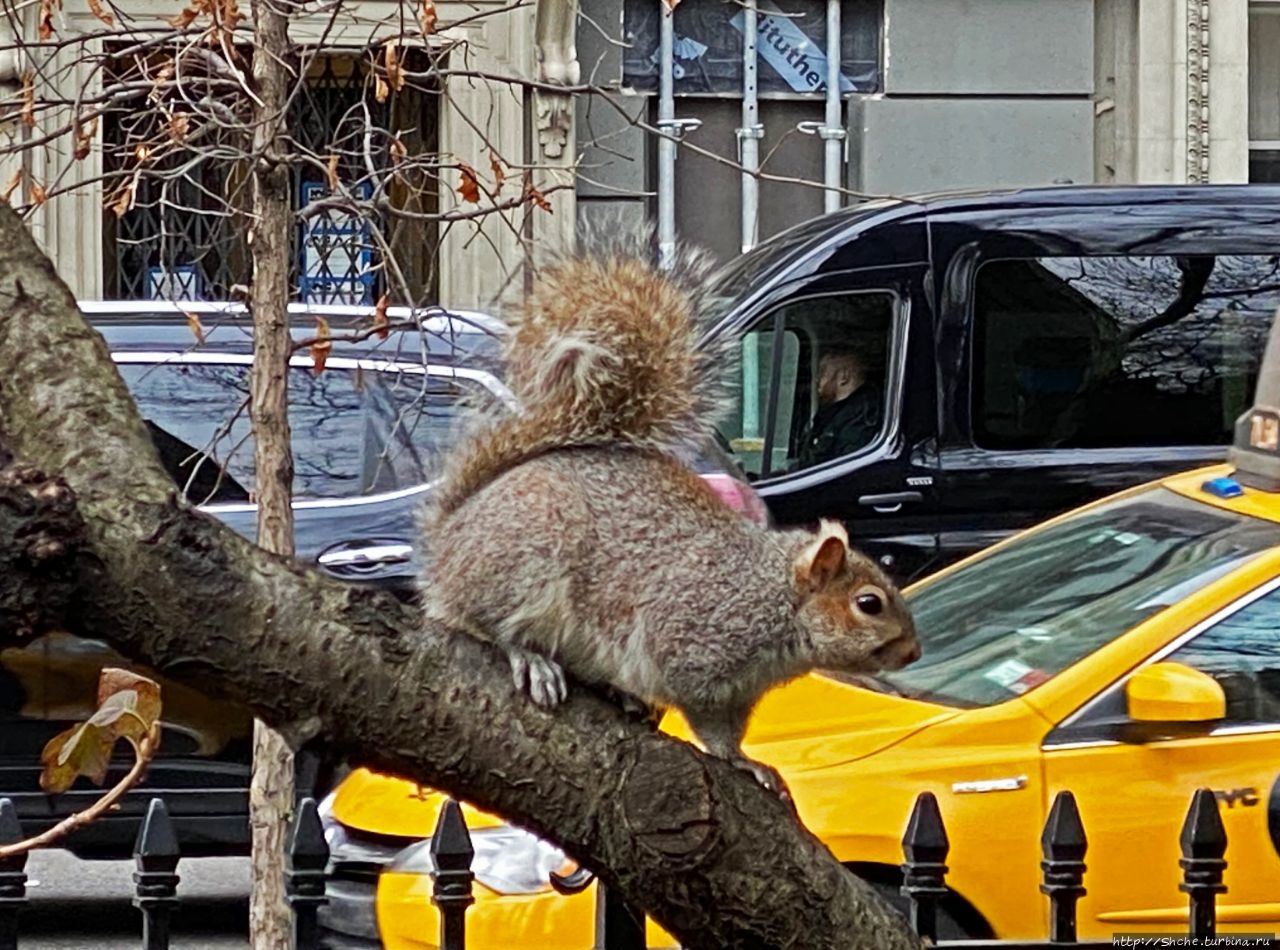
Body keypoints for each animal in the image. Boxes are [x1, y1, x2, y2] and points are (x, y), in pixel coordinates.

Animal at [419, 230, 921, 793]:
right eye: (869, 603)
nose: (914, 652)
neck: (772, 595)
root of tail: (451, 537)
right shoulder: (692, 644)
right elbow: (703, 718)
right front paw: (736, 759)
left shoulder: (740, 691)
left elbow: (730, 730)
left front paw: (748, 759)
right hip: (522, 562)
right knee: (485, 621)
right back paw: (530, 658)